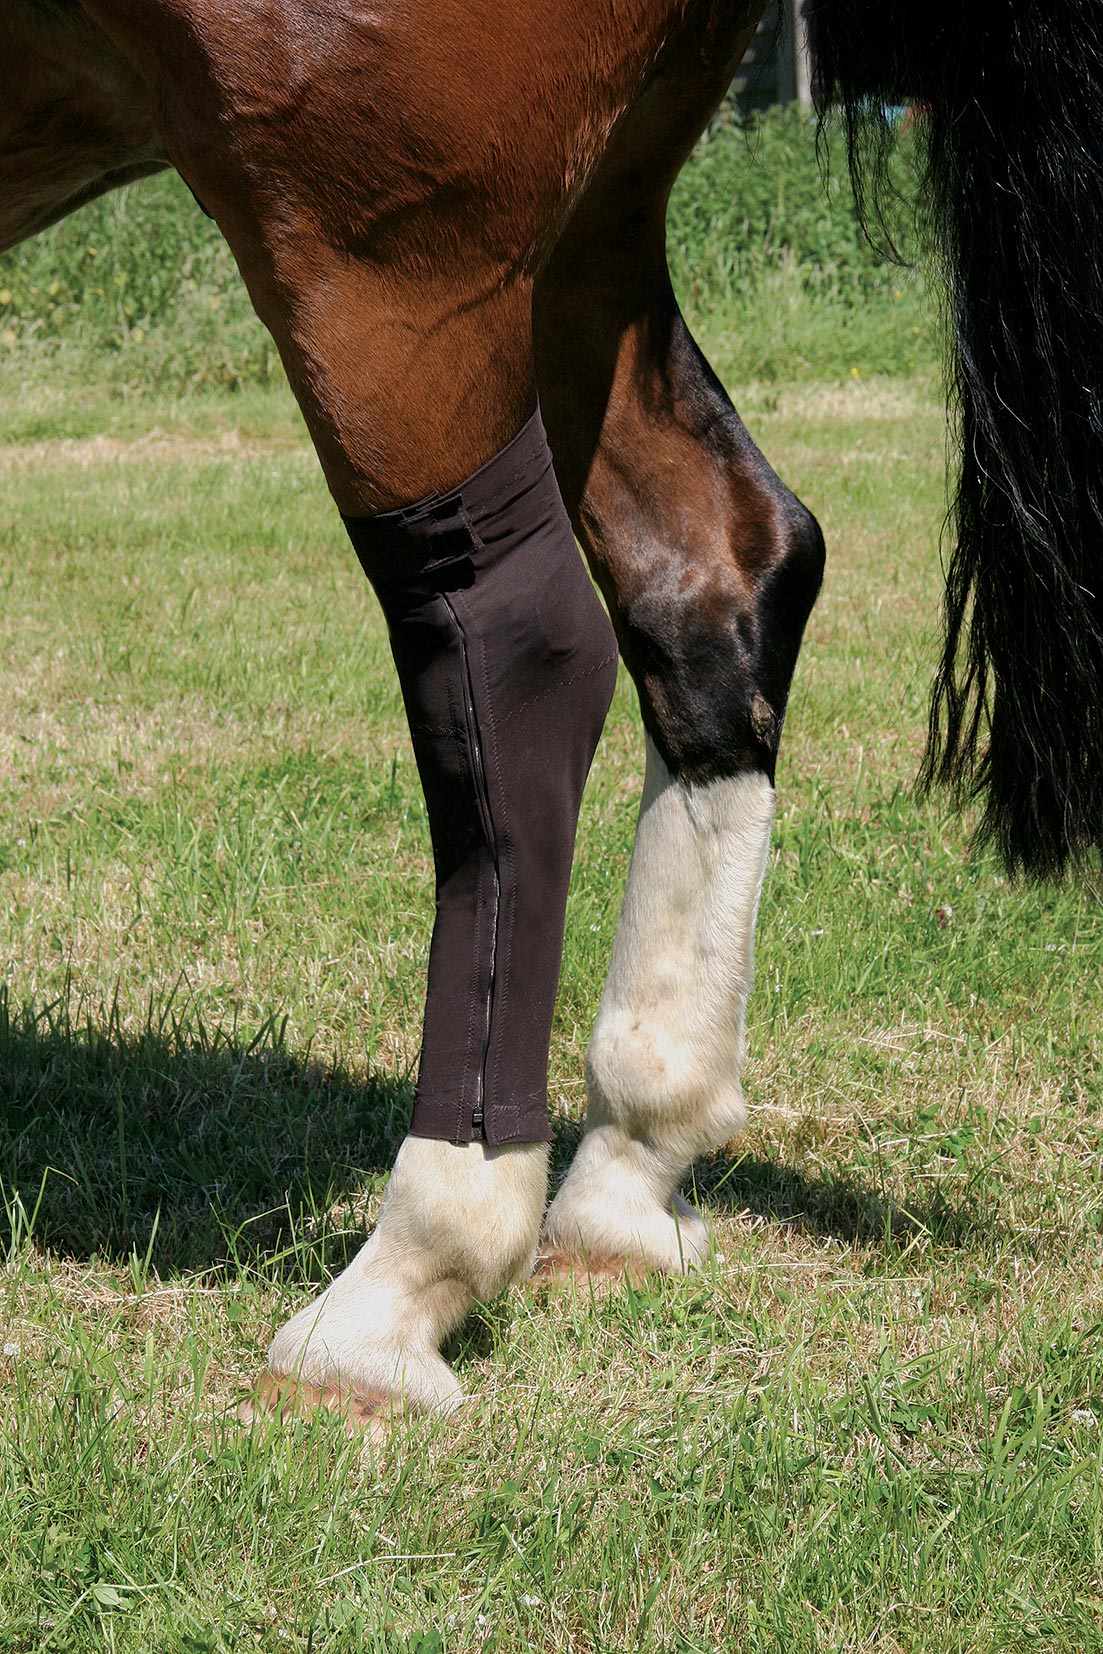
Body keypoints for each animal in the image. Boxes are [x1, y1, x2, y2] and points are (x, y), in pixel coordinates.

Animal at [3, 0, 1101, 1434]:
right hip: (589, 225)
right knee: (717, 567)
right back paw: (629, 1166)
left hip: (378, 234)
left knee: (515, 657)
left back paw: (409, 1273)